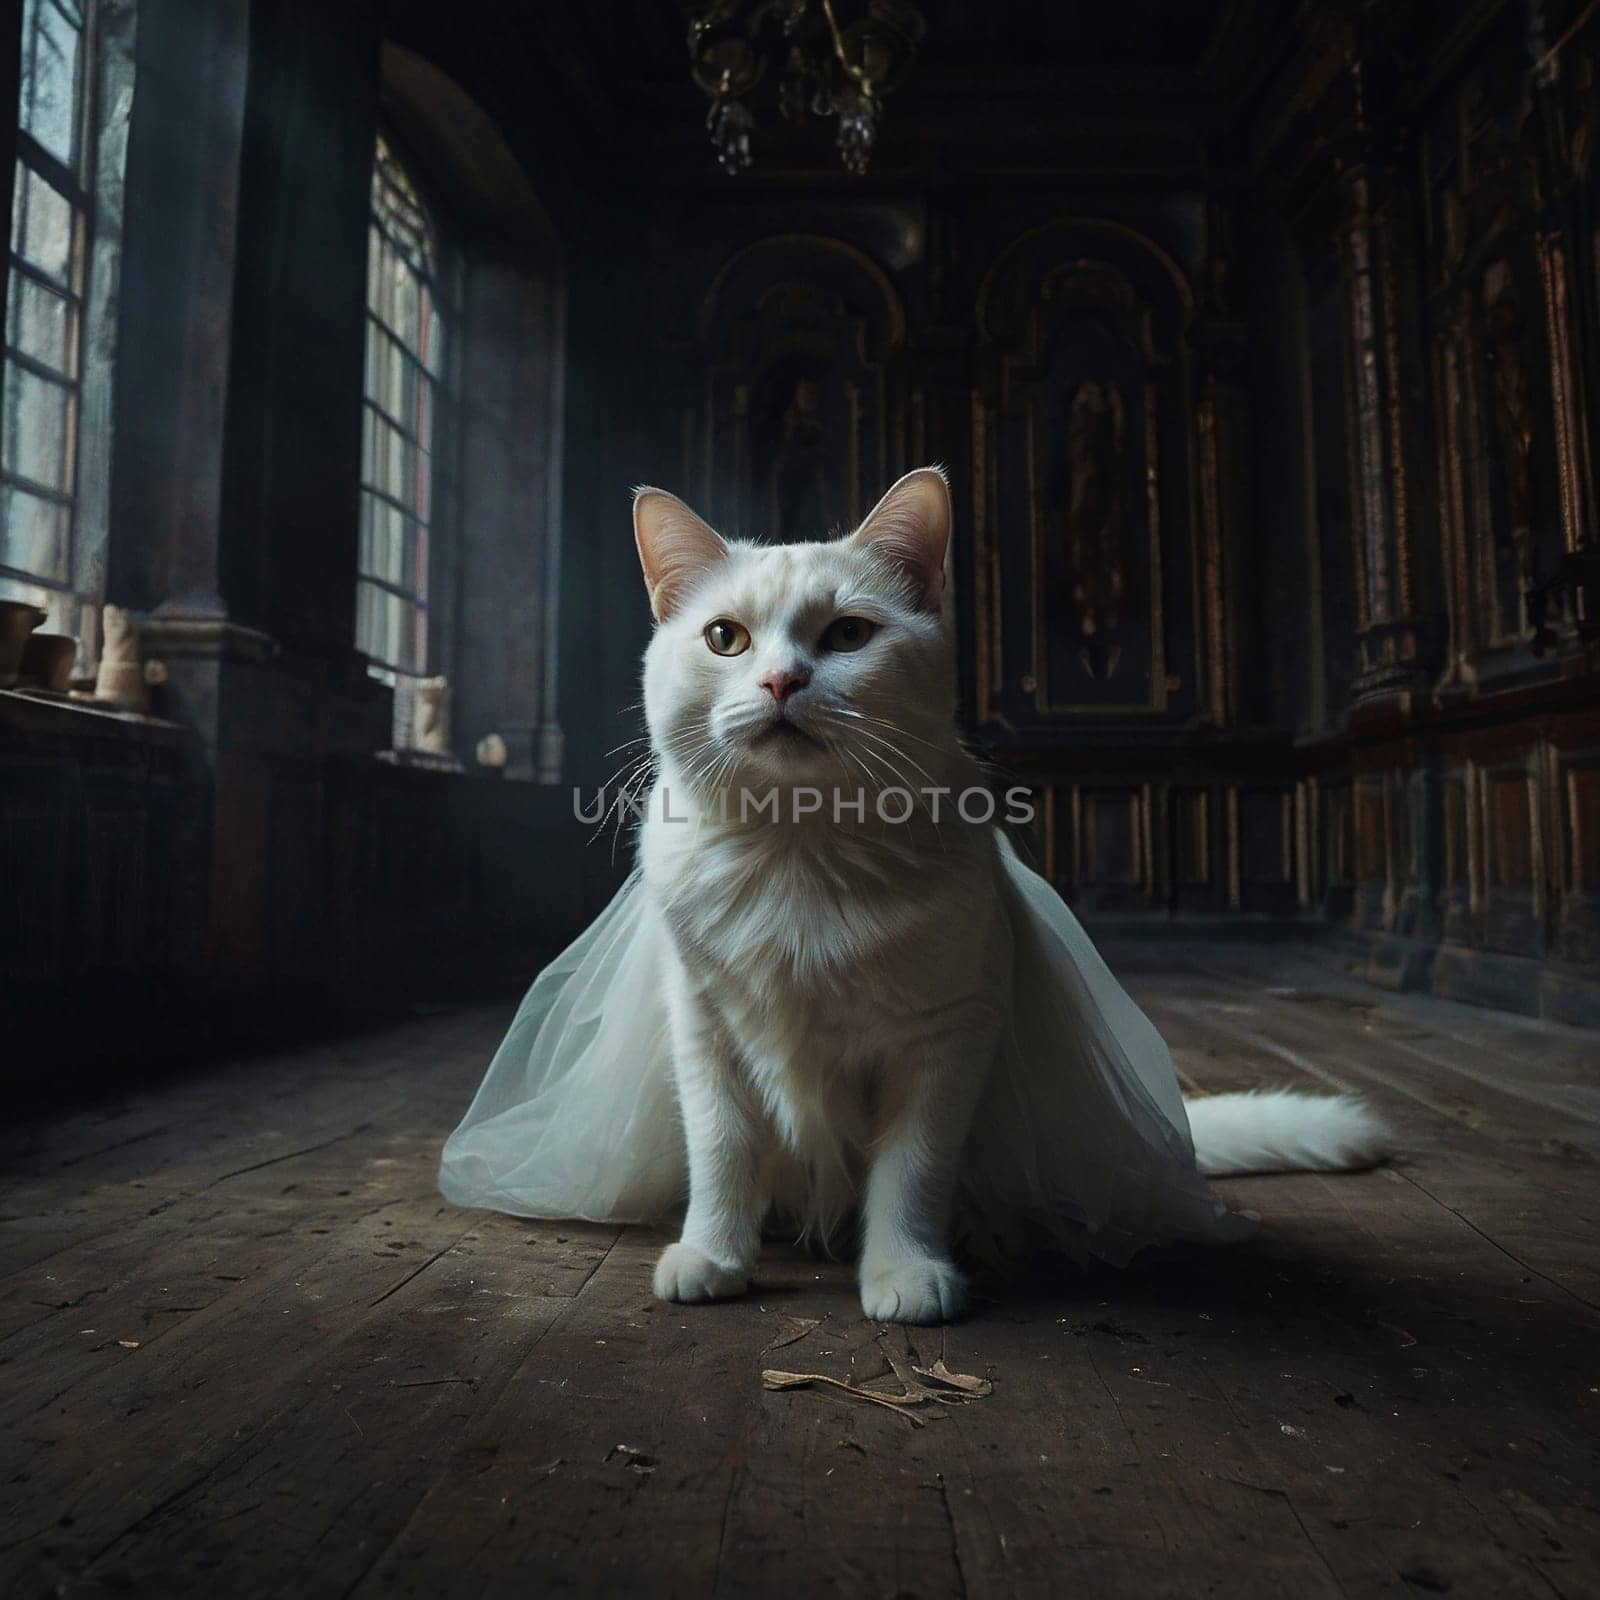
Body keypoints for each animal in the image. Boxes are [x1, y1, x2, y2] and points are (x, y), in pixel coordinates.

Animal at [441, 464, 1388, 1324]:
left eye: (848, 635)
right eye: (725, 639)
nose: (782, 682)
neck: (800, 853)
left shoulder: (947, 1037)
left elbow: (912, 1171)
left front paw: (904, 1271)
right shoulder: (704, 1029)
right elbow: (723, 1150)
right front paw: (715, 1253)